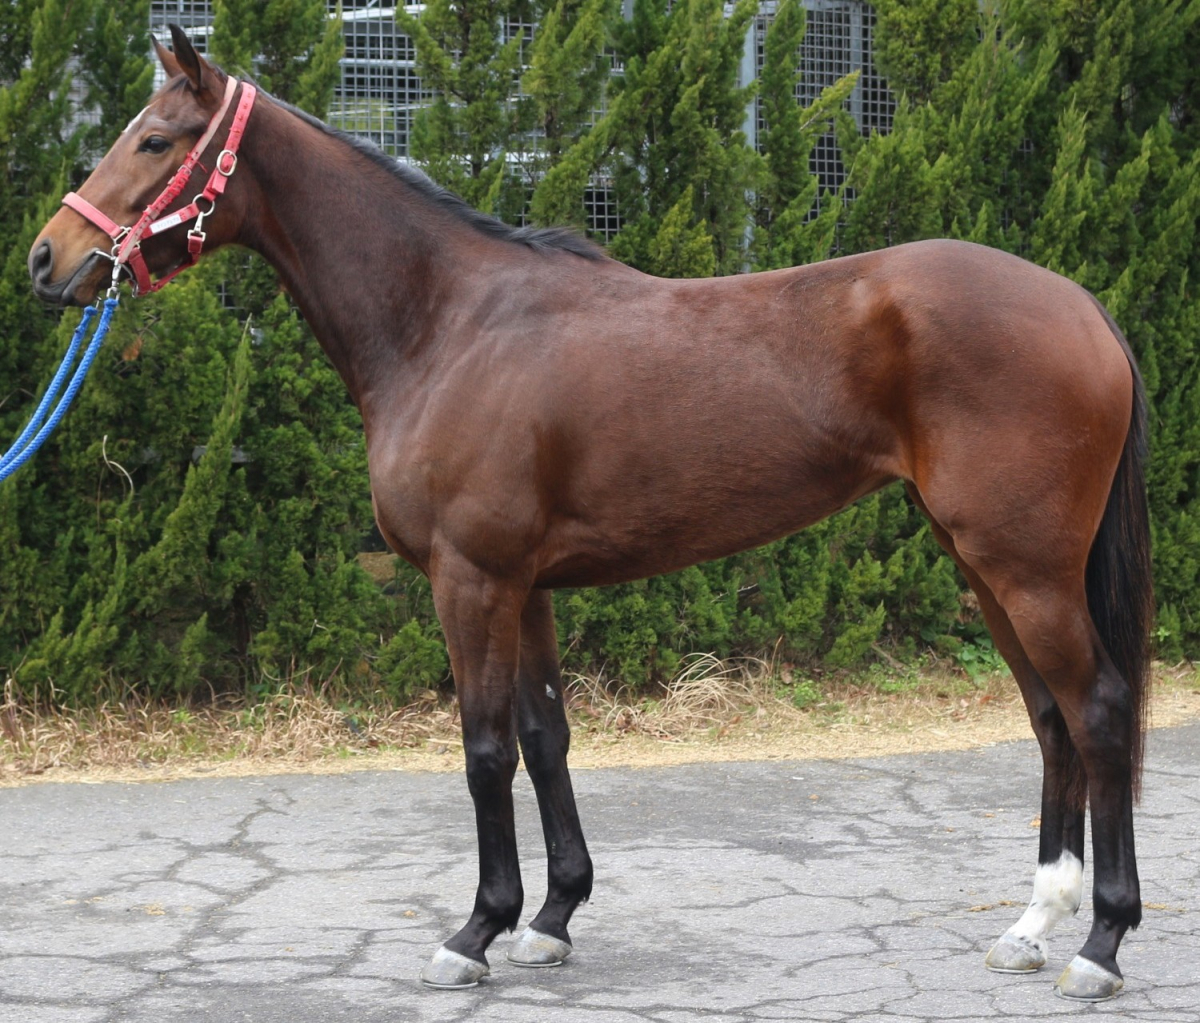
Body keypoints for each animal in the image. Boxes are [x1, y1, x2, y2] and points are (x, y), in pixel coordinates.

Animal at [28, 26, 1153, 1002]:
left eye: (155, 139)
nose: (46, 258)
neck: (449, 325)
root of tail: (1084, 308)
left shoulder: (470, 579)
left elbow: (484, 749)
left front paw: (475, 931)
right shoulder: (525, 586)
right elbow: (545, 736)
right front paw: (551, 918)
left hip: (1024, 566)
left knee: (1097, 711)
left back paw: (1099, 943)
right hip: (983, 563)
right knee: (1049, 718)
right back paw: (1032, 925)